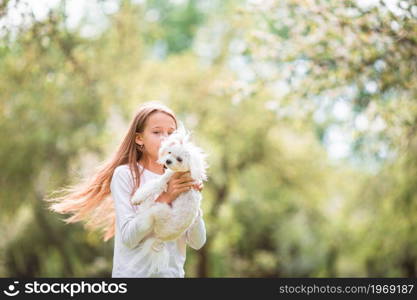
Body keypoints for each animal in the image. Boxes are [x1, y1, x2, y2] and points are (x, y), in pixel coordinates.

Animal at [128, 127, 208, 276]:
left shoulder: (165, 179)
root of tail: (160, 237)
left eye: (180, 159)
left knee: (147, 209)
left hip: (158, 209)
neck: (184, 172)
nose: (168, 161)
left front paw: (137, 198)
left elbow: (153, 185)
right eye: (169, 152)